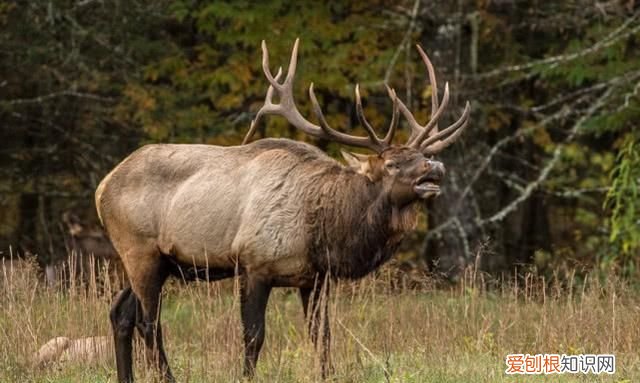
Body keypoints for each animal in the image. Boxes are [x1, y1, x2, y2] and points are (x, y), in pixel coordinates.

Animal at [99, 38, 470, 380]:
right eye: (392, 164)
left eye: (422, 156)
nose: (435, 168)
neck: (323, 232)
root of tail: (102, 187)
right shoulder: (254, 264)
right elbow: (253, 337)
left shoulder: (315, 278)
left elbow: (322, 337)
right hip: (140, 250)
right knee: (149, 323)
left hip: (156, 261)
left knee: (121, 312)